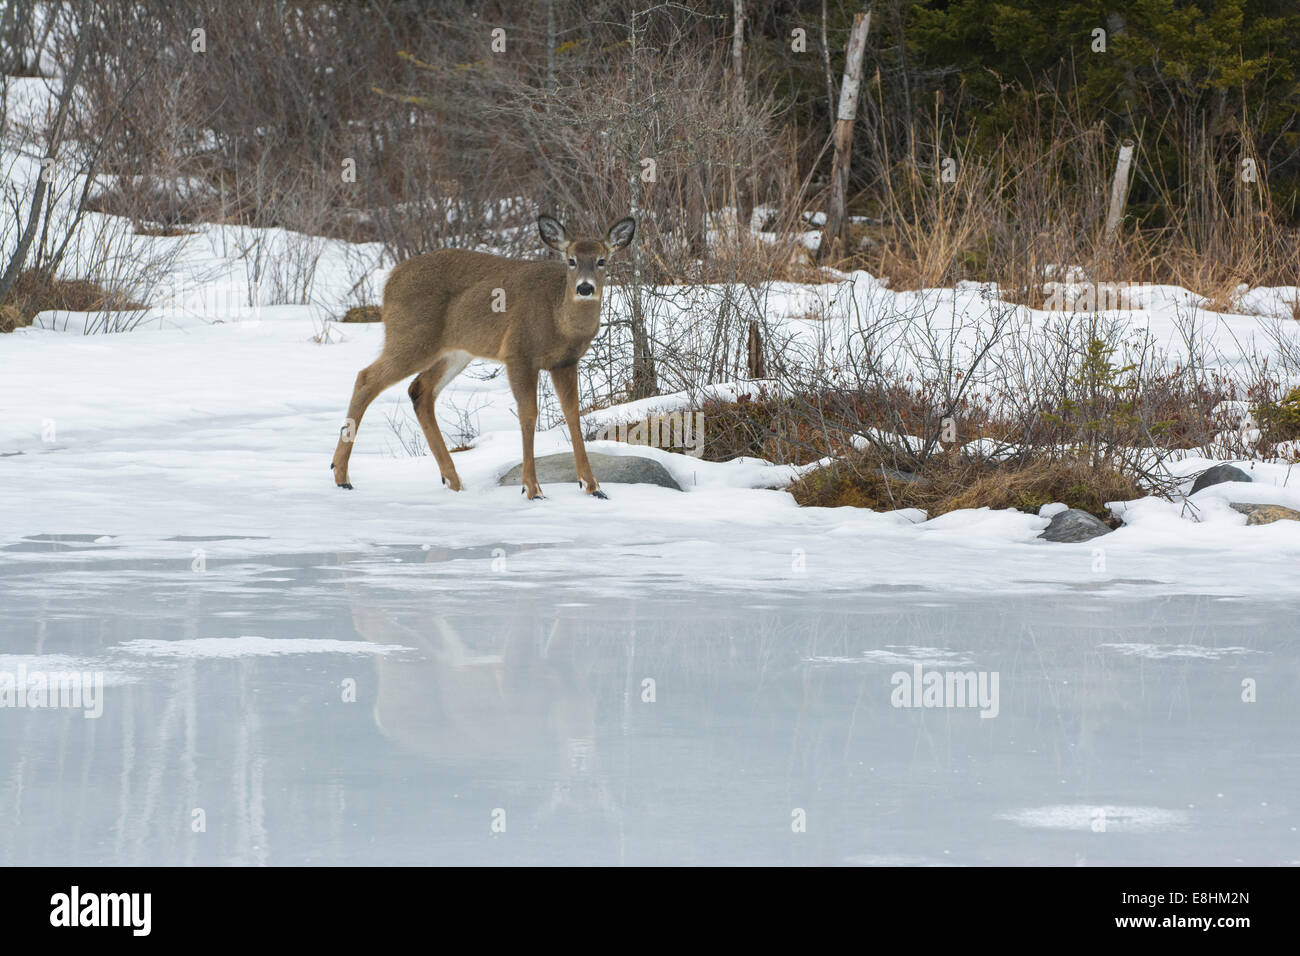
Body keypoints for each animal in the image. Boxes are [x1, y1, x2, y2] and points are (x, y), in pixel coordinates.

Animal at [332, 214, 637, 502]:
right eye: (571, 260)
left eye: (601, 260)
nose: (585, 288)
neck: (559, 319)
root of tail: (389, 281)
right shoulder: (518, 353)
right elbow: (529, 414)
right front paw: (532, 488)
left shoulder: (565, 362)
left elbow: (573, 414)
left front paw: (593, 486)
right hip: (411, 337)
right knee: (366, 378)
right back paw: (341, 475)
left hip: (456, 351)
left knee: (420, 390)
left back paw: (453, 480)